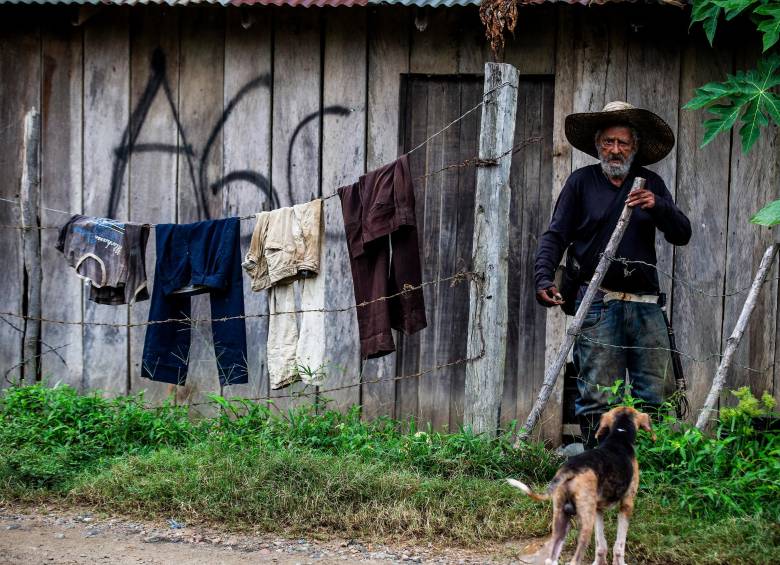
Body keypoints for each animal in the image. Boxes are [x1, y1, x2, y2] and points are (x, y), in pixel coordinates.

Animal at [506, 406, 652, 564]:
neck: (619, 437)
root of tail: (570, 469)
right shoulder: (627, 504)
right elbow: (619, 545)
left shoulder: (598, 510)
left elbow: (601, 545)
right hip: (586, 523)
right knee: (575, 560)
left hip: (562, 519)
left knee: (551, 559)